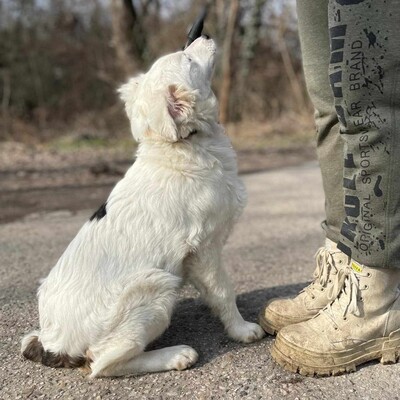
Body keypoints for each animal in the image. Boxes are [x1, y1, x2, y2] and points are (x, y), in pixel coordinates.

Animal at [21, 36, 266, 376]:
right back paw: (176, 355)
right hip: (155, 284)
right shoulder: (204, 247)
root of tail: (51, 341)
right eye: (188, 60)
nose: (204, 36)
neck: (179, 145)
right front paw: (241, 329)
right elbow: (222, 292)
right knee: (103, 363)